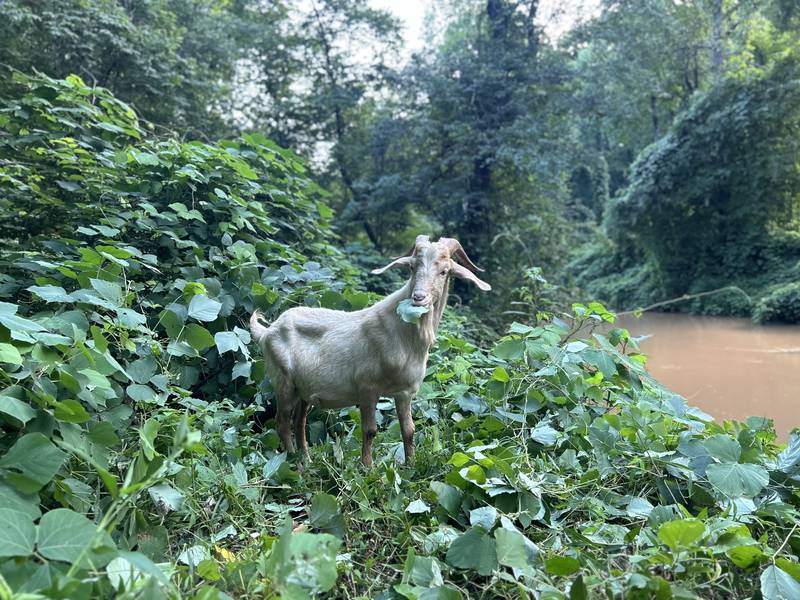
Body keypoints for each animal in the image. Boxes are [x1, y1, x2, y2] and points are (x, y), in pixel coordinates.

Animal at [249, 235, 491, 466]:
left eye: (444, 271)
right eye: (412, 267)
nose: (419, 297)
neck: (404, 335)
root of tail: (267, 331)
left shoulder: (405, 393)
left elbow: (409, 430)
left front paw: (411, 466)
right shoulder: (367, 388)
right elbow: (370, 430)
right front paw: (367, 468)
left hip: (304, 391)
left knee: (299, 423)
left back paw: (306, 461)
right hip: (283, 382)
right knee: (282, 424)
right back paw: (293, 463)